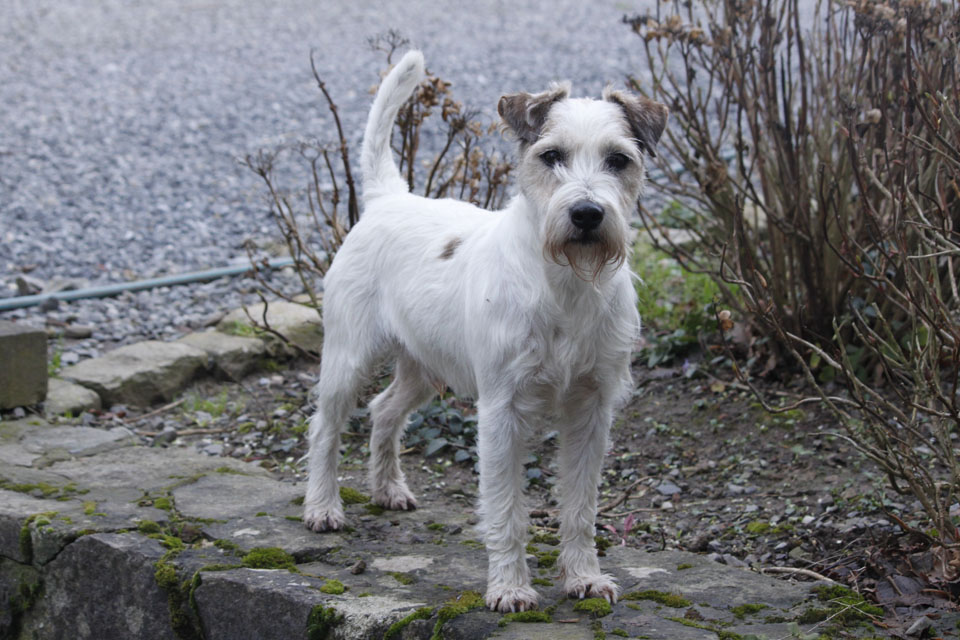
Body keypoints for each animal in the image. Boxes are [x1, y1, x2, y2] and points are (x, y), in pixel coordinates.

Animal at [302, 50, 667, 613]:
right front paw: (510, 587)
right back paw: (323, 507)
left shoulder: (591, 410)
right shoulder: (501, 413)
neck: (565, 286)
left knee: (383, 410)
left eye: (619, 160)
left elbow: (580, 506)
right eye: (551, 155)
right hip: (348, 356)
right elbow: (506, 509)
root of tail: (389, 198)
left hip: (423, 368)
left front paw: (584, 578)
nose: (586, 213)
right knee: (326, 426)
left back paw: (388, 489)